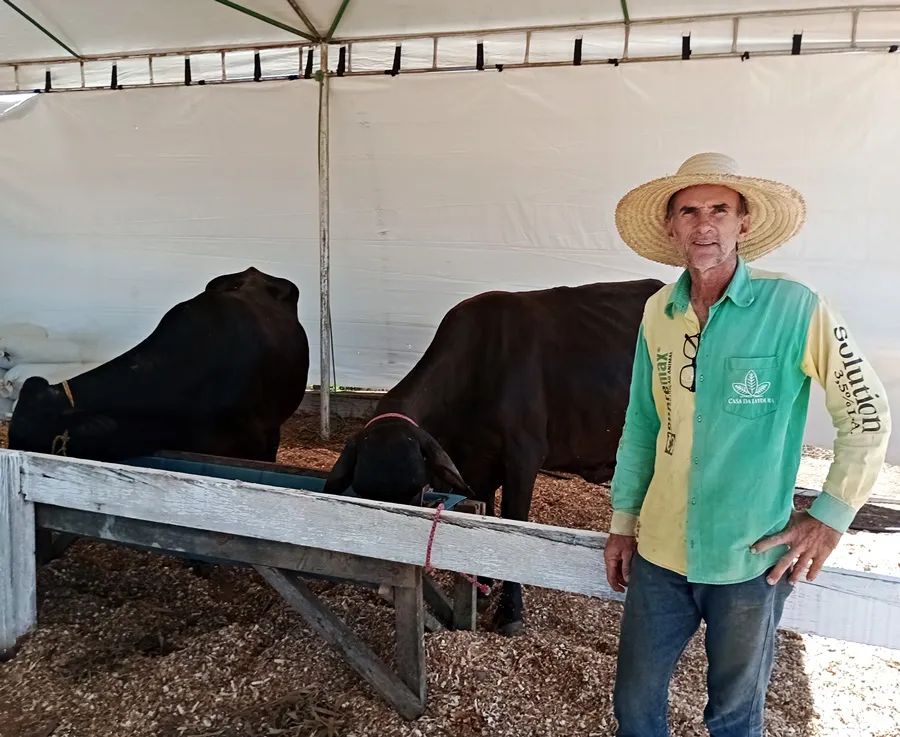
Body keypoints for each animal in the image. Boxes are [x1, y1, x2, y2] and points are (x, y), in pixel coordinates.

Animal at [324, 278, 660, 636]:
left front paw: (510, 612)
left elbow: (513, 522)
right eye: (362, 495)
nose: (390, 575)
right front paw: (483, 588)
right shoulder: (476, 466)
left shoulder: (523, 457)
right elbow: (486, 516)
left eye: (417, 493)